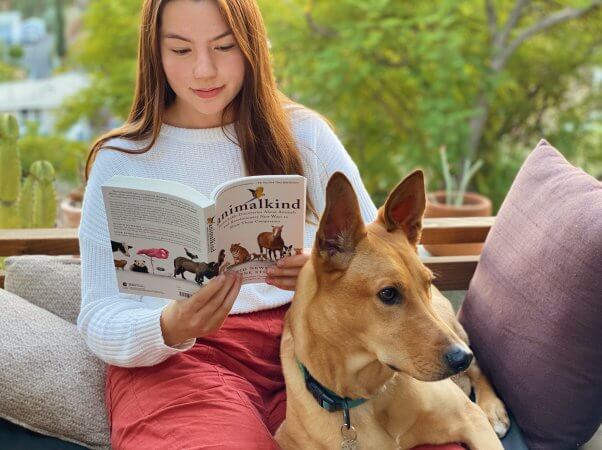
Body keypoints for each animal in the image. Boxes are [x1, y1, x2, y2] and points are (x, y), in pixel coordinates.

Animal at [276, 171, 506, 450]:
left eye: (427, 282)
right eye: (388, 293)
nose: (462, 358)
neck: (366, 394)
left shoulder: (471, 419)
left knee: (479, 368)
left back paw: (492, 407)